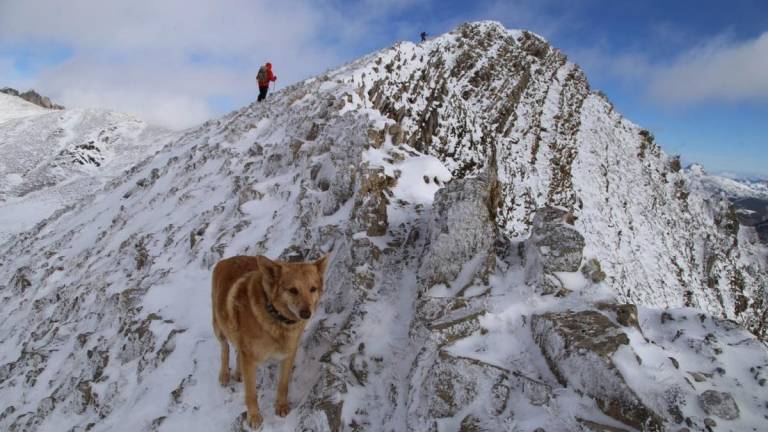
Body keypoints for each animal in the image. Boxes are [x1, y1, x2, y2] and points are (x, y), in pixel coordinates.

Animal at [212, 255, 328, 426]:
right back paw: (225, 374)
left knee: (237, 350)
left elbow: (283, 385)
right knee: (224, 348)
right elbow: (251, 393)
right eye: (293, 290)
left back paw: (239, 372)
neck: (275, 316)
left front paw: (281, 406)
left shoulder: (288, 355)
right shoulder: (250, 359)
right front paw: (254, 416)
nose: (306, 313)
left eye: (313, 289)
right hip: (219, 327)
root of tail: (227, 259)